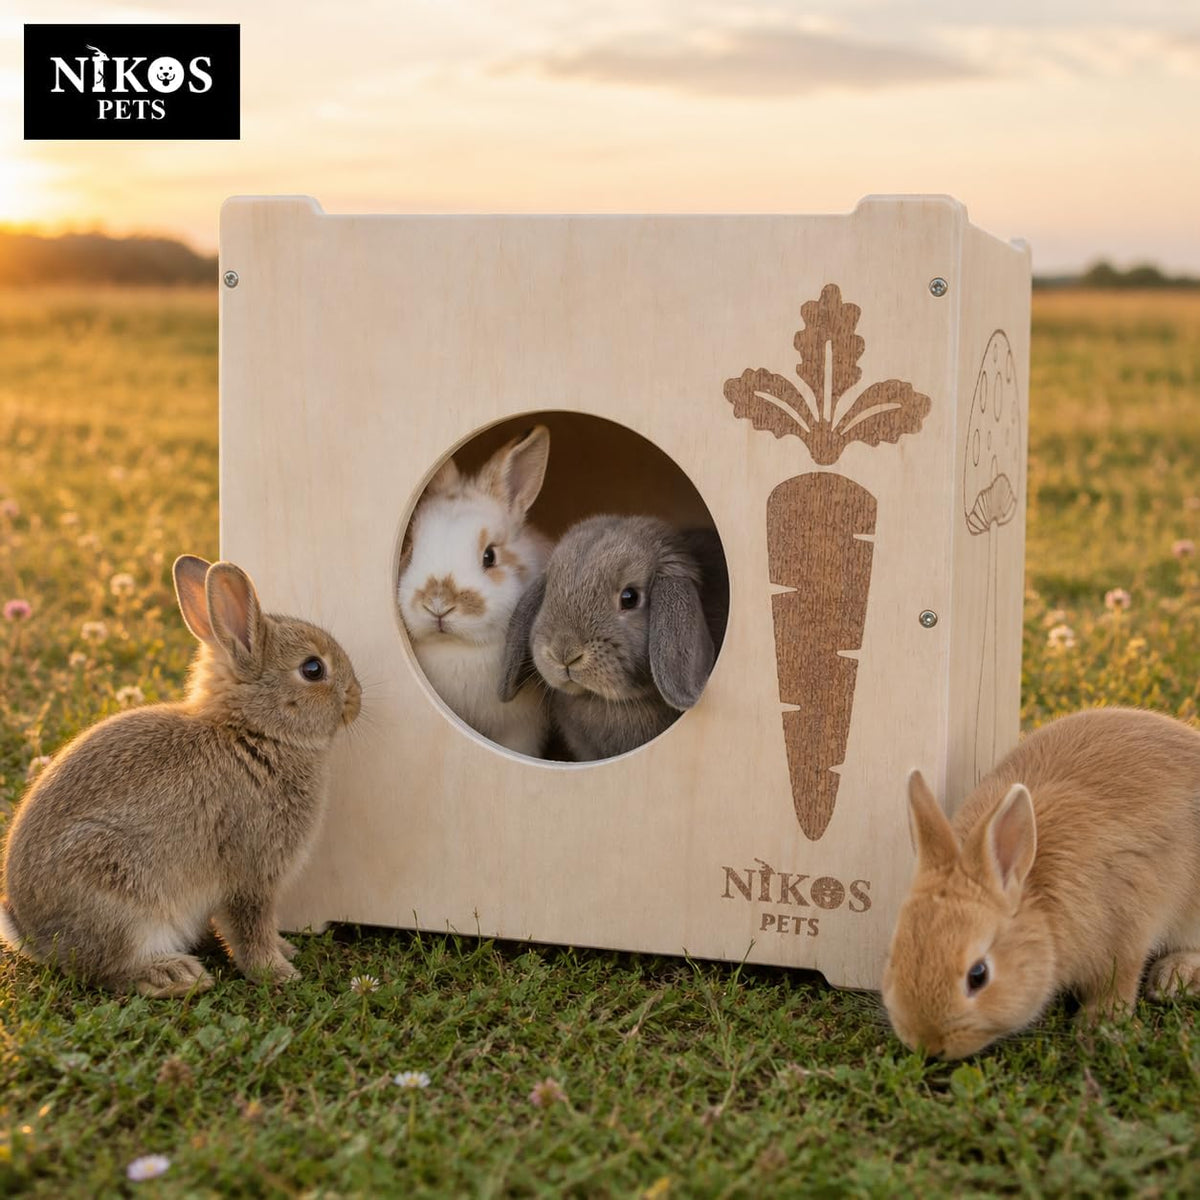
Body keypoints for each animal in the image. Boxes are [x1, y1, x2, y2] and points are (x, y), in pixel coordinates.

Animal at [0, 555, 361, 998]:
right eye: (313, 669)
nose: (357, 697)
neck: (252, 732)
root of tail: (32, 936)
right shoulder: (250, 872)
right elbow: (249, 928)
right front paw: (277, 972)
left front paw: (284, 951)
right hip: (120, 900)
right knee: (107, 969)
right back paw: (175, 975)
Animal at [882, 707, 1200, 1059]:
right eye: (894, 956)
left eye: (978, 975)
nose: (927, 1045)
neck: (1037, 901)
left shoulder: (1128, 931)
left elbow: (1119, 980)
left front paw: (1097, 1025)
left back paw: (1173, 978)